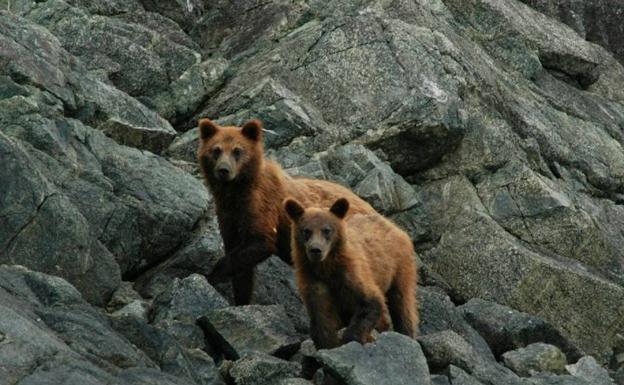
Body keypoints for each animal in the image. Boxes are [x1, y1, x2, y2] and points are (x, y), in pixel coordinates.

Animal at [197, 118, 378, 304]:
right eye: (216, 150)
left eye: (237, 151)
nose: (223, 170)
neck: (235, 191)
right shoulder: (228, 214)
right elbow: (240, 262)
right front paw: (241, 299)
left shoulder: (260, 203)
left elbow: (260, 241)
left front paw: (212, 275)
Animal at [286, 196, 416, 346]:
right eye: (306, 230)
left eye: (327, 230)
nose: (316, 250)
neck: (326, 268)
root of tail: (393, 225)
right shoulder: (313, 280)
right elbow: (321, 314)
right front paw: (328, 342)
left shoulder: (351, 274)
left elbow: (370, 302)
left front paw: (351, 337)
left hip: (399, 266)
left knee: (402, 302)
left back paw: (406, 333)